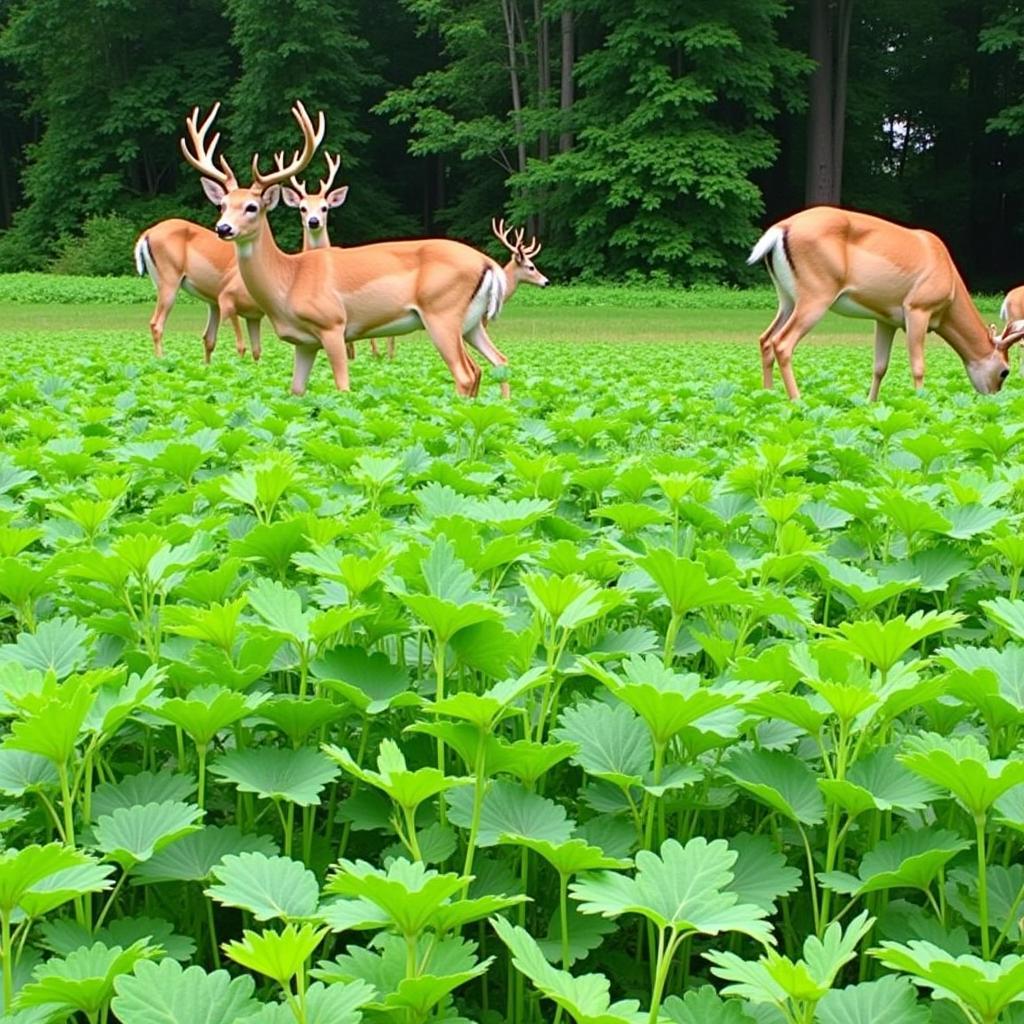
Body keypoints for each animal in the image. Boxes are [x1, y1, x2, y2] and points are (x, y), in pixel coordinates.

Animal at [134, 218, 262, 362]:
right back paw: (161, 361)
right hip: (169, 288)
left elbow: (210, 340)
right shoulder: (229, 304)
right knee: (156, 325)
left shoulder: (216, 305)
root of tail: (149, 232)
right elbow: (241, 347)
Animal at [745, 203, 1024, 399]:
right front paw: (922, 405)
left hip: (787, 299)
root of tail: (781, 229)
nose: (992, 397)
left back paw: (767, 397)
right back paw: (797, 400)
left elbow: (880, 366)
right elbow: (918, 366)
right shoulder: (917, 310)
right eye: (1004, 371)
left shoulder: (885, 320)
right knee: (782, 343)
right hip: (815, 297)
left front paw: (871, 405)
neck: (949, 278)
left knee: (765, 339)